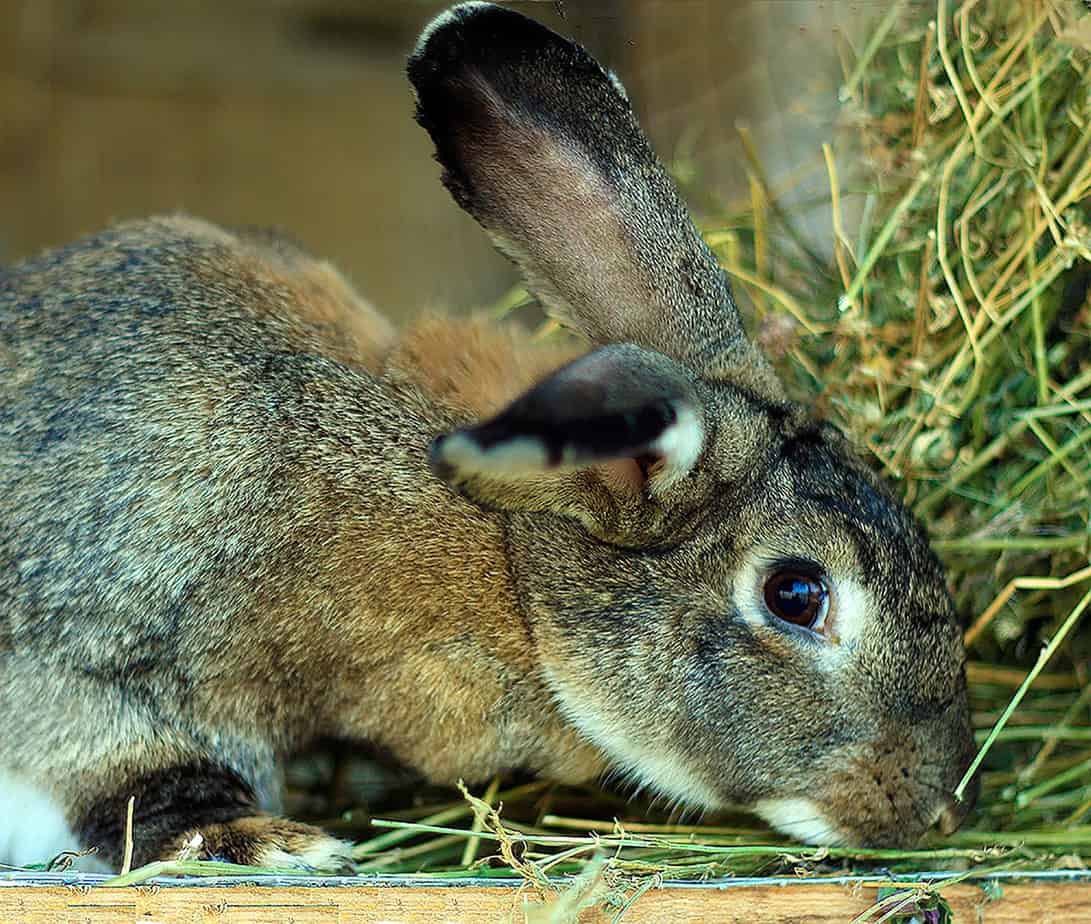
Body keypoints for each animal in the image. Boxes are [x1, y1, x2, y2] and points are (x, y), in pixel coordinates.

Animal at [0, 1, 977, 872]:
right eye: (795, 594)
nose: (935, 808)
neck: (512, 565)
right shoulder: (100, 628)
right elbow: (125, 764)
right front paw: (270, 845)